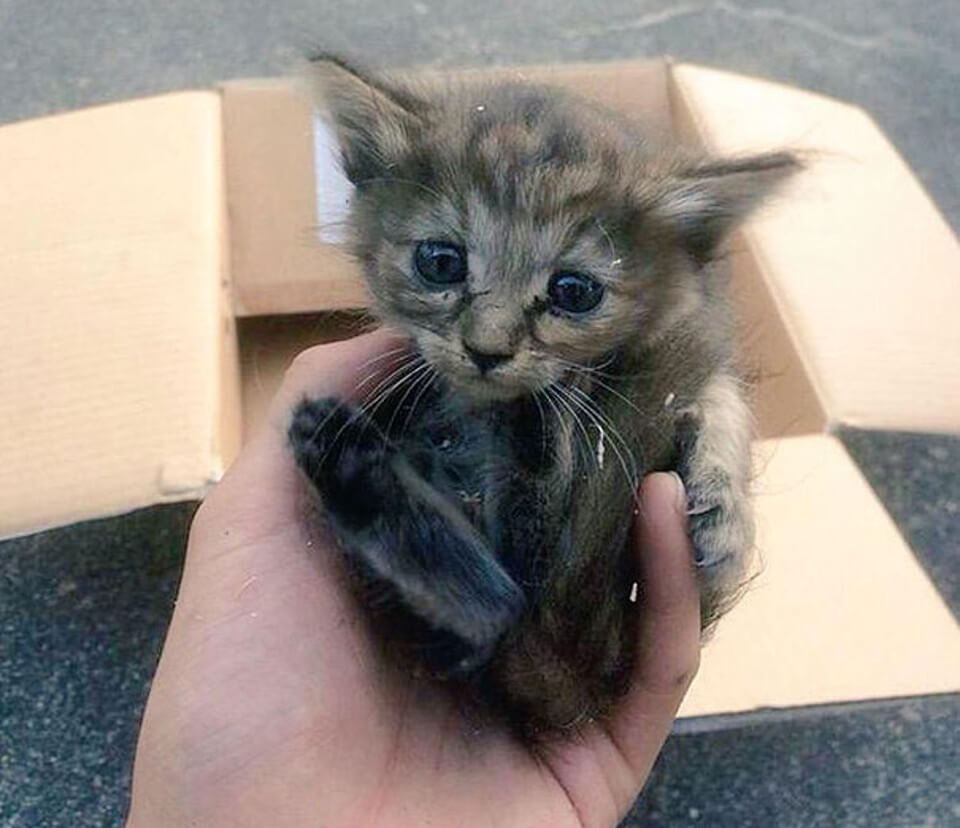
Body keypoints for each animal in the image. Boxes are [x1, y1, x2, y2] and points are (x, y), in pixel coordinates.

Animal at [288, 55, 800, 736]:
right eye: (440, 261)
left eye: (574, 291)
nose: (487, 350)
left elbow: (723, 399)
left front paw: (726, 517)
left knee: (500, 613)